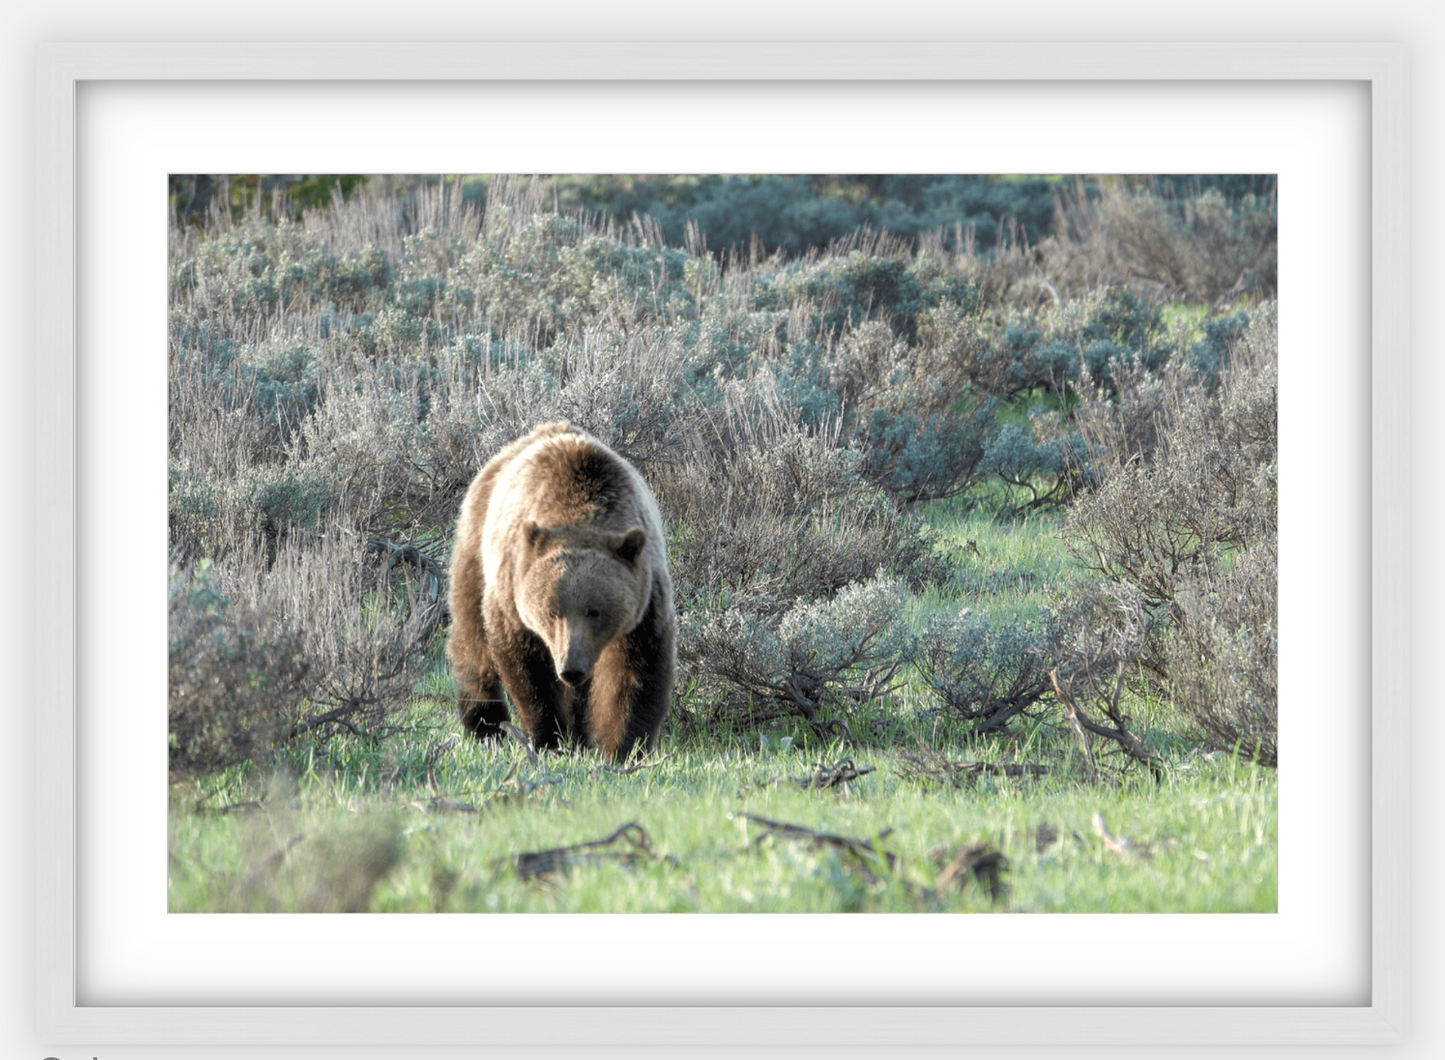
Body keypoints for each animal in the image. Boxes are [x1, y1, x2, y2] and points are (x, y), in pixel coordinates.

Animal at [445, 424, 676, 762]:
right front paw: (547, 738)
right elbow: (529, 670)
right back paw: (484, 723)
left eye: (595, 611)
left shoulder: (644, 601)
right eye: (551, 611)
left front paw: (623, 748)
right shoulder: (514, 590)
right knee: (471, 634)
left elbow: (635, 672)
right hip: (476, 546)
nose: (571, 667)